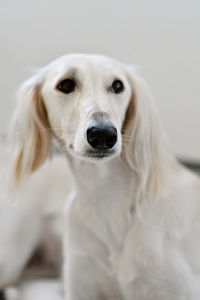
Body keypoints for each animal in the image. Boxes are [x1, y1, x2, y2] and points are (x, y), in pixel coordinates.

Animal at [1, 54, 200, 300]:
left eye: (118, 85)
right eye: (66, 84)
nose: (104, 135)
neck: (106, 197)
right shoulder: (80, 287)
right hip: (10, 255)